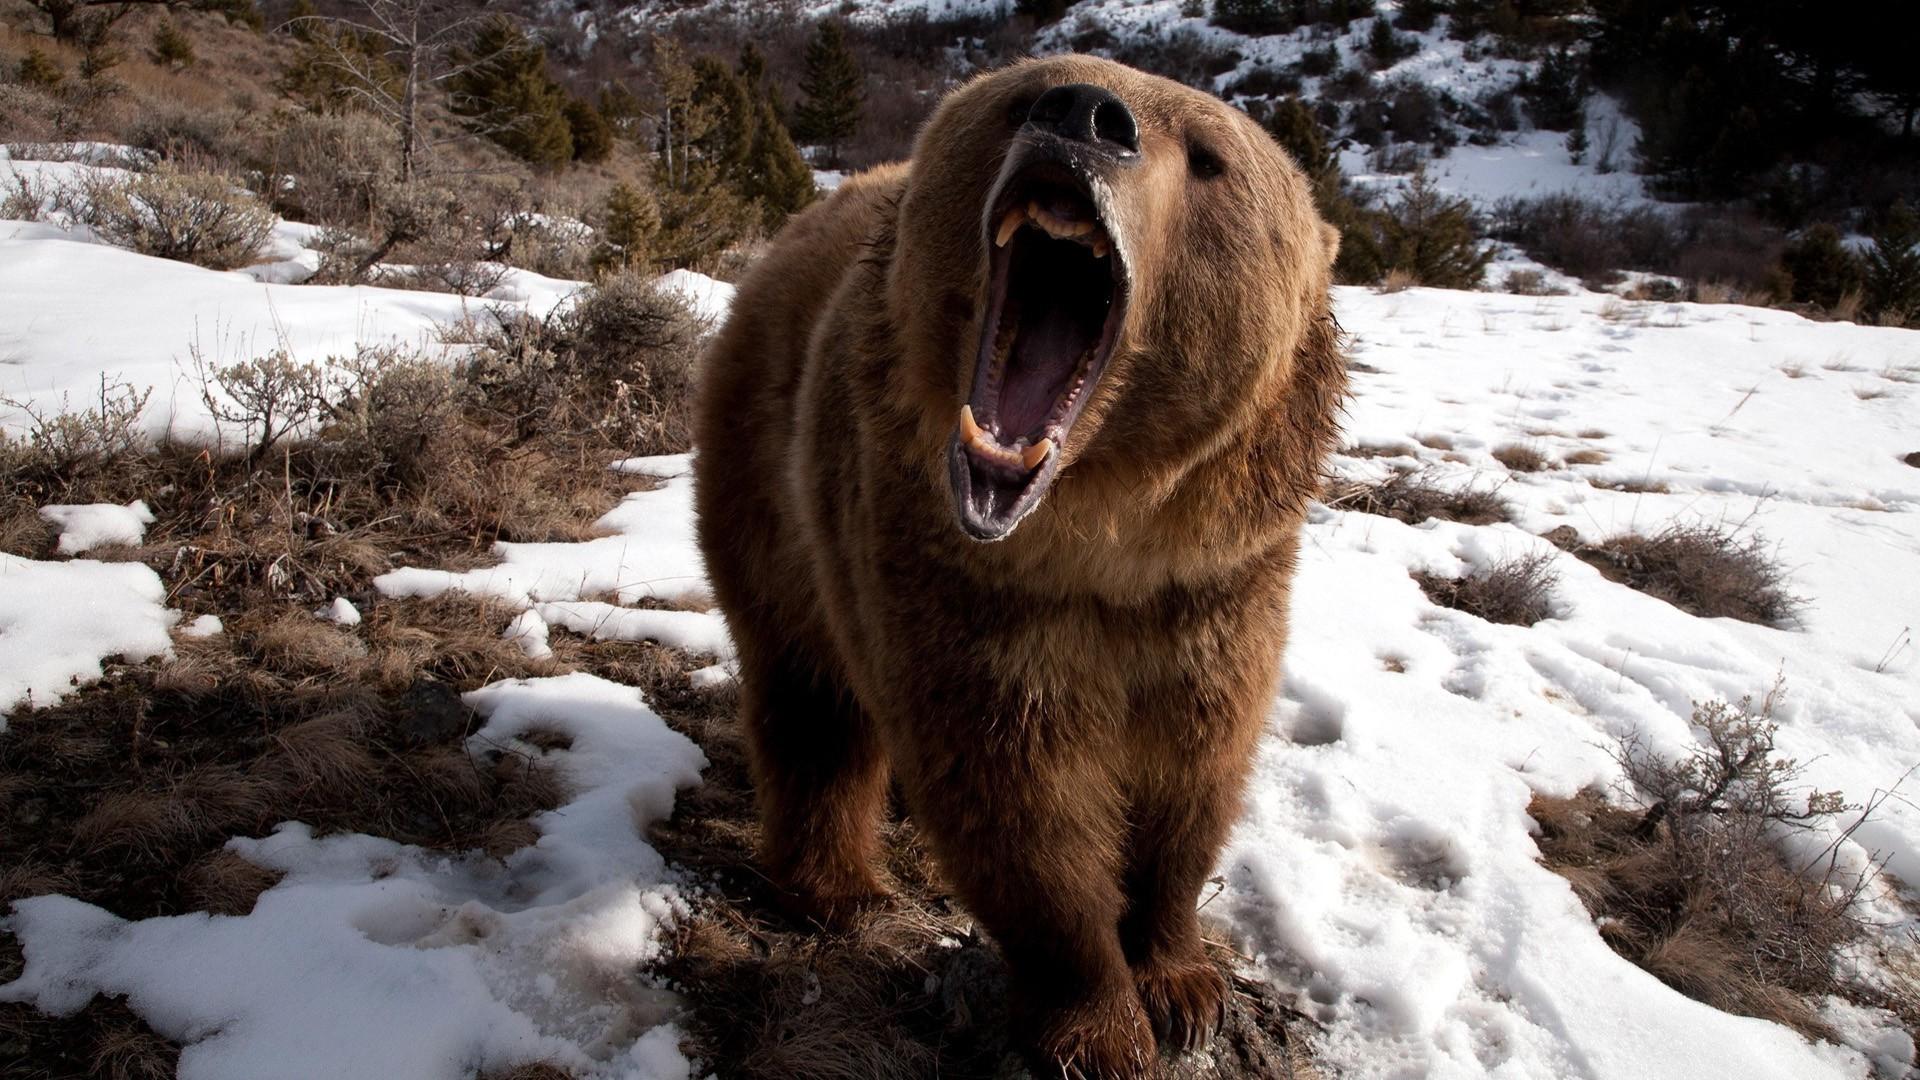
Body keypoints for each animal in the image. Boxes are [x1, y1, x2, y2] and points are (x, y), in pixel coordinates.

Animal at [693, 55, 1346, 1078]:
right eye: (1026, 94)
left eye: (1210, 157)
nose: (1085, 116)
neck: (1100, 539)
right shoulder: (965, 585)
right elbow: (1018, 802)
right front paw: (1102, 1027)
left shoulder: (1217, 587)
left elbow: (1194, 774)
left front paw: (1183, 983)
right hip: (770, 476)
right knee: (810, 694)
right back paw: (839, 888)